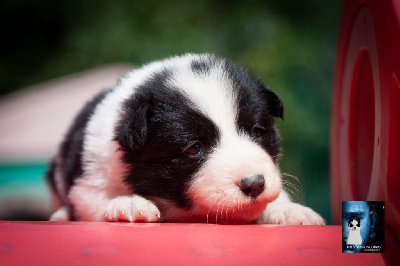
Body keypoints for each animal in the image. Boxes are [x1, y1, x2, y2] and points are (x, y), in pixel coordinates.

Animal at [47, 53, 324, 224]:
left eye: (257, 131)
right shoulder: (89, 177)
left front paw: (289, 210)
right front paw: (128, 203)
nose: (254, 184)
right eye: (194, 148)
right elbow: (93, 199)